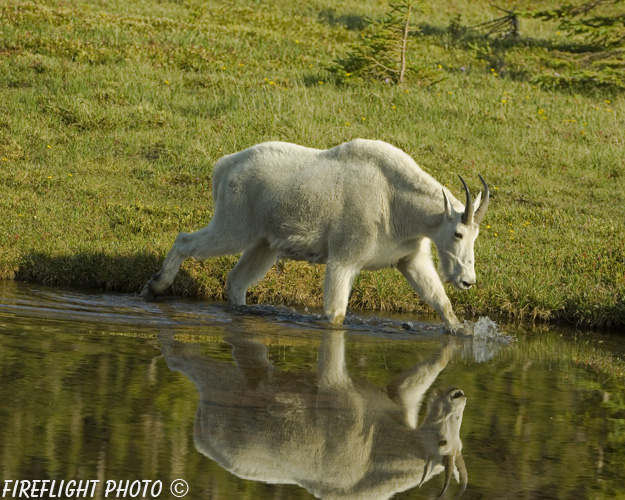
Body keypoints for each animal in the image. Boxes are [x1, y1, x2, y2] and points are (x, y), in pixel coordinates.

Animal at [141, 139, 488, 330]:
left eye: (475, 236)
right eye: (458, 233)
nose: (467, 281)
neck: (397, 202)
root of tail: (223, 168)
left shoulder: (410, 258)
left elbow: (440, 301)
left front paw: (461, 331)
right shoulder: (345, 257)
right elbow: (336, 314)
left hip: (263, 243)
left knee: (236, 280)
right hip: (233, 225)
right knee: (185, 241)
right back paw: (155, 286)